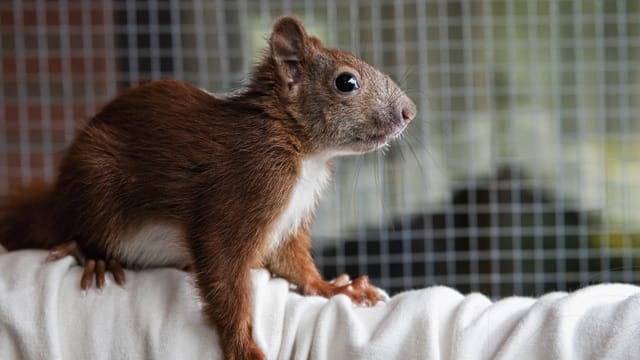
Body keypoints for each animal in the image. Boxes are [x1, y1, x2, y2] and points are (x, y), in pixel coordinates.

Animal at [0, 15, 418, 358]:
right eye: (346, 82)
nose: (410, 112)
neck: (304, 152)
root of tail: (53, 200)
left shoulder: (289, 221)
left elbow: (295, 265)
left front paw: (334, 289)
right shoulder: (247, 184)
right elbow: (223, 265)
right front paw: (242, 346)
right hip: (94, 183)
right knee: (72, 229)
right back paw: (94, 256)